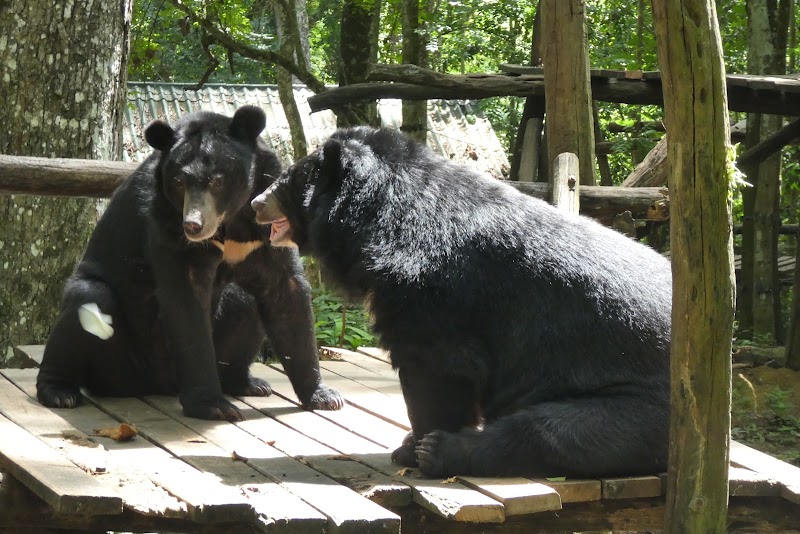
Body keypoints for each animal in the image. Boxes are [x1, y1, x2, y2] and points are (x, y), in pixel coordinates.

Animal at [37, 106, 343, 421]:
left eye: (218, 181)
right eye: (179, 182)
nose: (193, 225)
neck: (230, 223)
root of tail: (155, 384)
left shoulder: (265, 228)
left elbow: (285, 293)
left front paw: (324, 396)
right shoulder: (166, 226)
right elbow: (187, 305)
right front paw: (214, 406)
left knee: (244, 301)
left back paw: (248, 383)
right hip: (116, 356)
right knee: (87, 300)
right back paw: (59, 391)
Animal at [251, 126, 672, 478]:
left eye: (291, 179)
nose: (256, 203)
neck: (383, 220)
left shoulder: (433, 292)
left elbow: (438, 368)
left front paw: (416, 445)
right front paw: (410, 444)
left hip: (635, 402)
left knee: (555, 431)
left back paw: (443, 451)